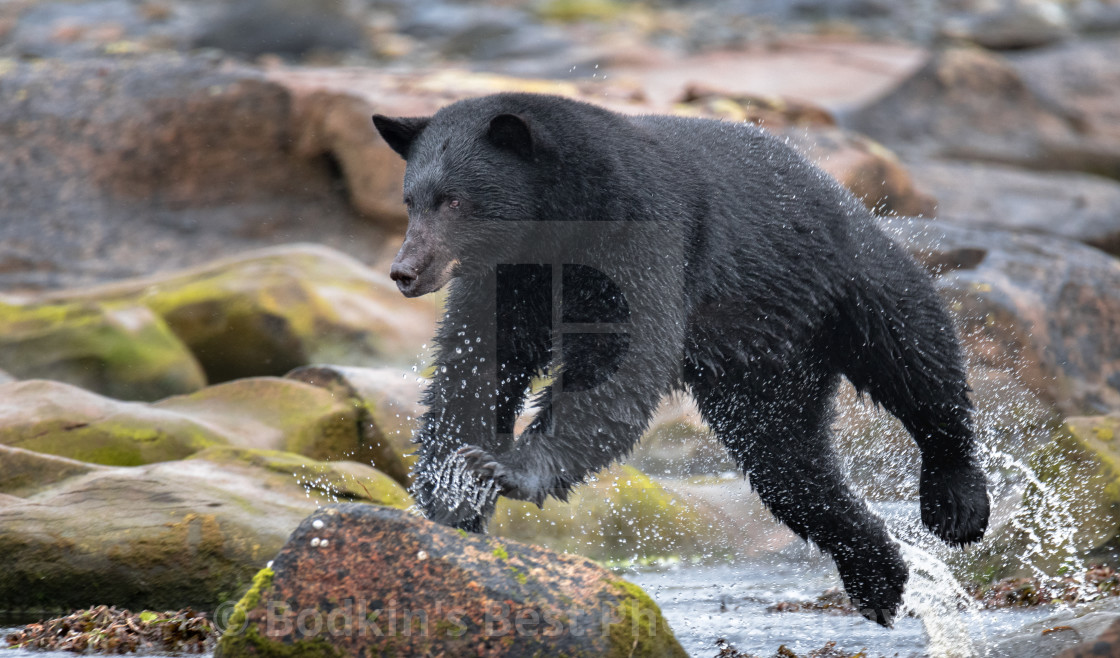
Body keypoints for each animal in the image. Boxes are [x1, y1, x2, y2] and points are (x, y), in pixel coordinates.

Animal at [376, 91, 990, 622]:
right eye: (410, 200)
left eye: (454, 200)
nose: (405, 271)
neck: (557, 229)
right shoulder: (503, 280)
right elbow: (474, 367)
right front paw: (448, 491)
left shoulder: (642, 239)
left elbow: (620, 364)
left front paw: (509, 468)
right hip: (758, 371)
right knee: (788, 462)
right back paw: (877, 577)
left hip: (842, 273)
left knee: (917, 354)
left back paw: (957, 503)